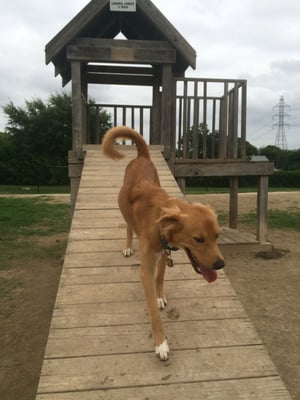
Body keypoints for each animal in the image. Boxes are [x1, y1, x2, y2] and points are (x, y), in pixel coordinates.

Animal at [102, 126, 224, 360]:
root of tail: (141, 157)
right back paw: (128, 246)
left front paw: (160, 297)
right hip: (125, 214)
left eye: (217, 236)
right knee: (129, 228)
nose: (221, 265)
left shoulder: (163, 254)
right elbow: (151, 309)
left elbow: (160, 277)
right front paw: (161, 343)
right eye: (198, 239)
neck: (160, 221)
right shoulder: (146, 269)